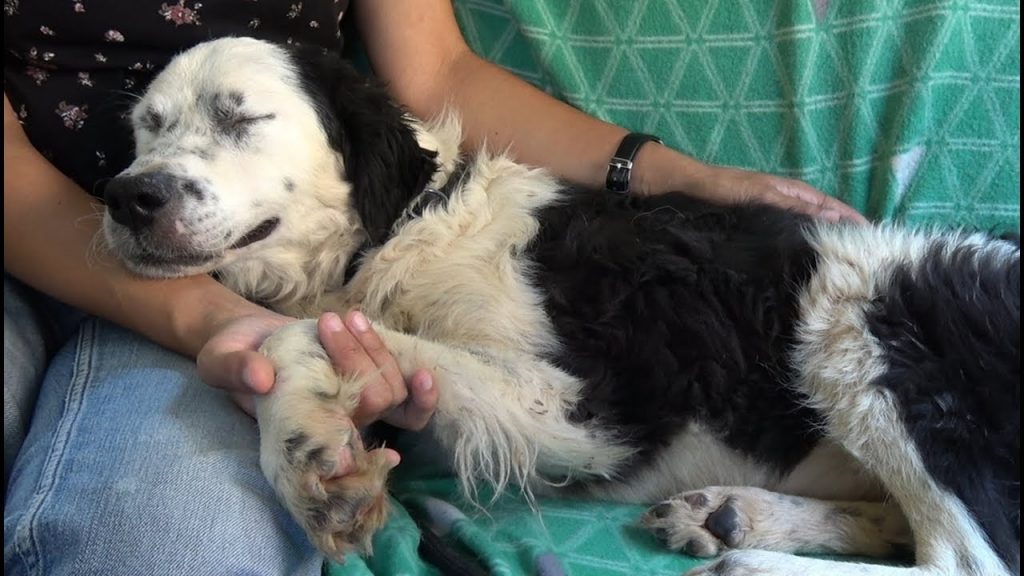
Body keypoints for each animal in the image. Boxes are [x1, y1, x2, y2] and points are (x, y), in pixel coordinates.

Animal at [101, 38, 1015, 569]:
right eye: (146, 128)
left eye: (241, 118)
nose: (126, 197)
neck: (405, 226)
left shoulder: (579, 407)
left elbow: (298, 336)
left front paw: (303, 458)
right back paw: (731, 519)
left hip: (862, 316)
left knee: (959, 562)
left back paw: (745, 554)